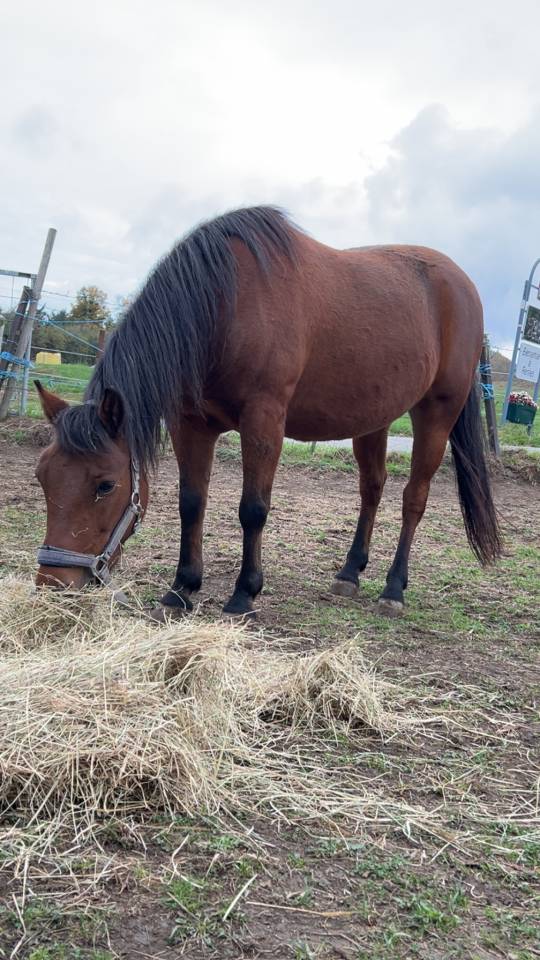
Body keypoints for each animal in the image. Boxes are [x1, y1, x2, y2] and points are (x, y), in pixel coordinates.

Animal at [34, 205, 501, 619]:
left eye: (106, 485)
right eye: (42, 477)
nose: (53, 584)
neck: (225, 306)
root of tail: (463, 284)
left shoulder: (264, 421)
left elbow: (253, 508)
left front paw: (244, 594)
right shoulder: (190, 424)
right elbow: (191, 503)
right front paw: (181, 589)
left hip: (436, 413)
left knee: (413, 498)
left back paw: (393, 589)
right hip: (375, 418)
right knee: (372, 488)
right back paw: (349, 574)